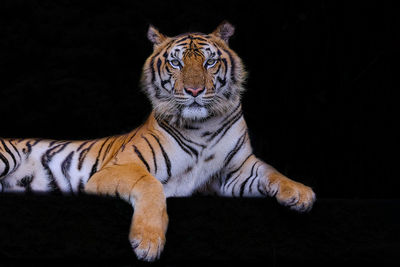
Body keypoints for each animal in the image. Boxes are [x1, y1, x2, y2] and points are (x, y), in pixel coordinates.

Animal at [1, 22, 318, 262]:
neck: (202, 126)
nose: (194, 91)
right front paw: (148, 241)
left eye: (209, 62)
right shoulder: (117, 169)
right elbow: (151, 185)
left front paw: (299, 193)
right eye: (176, 62)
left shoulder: (233, 173)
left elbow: (270, 171)